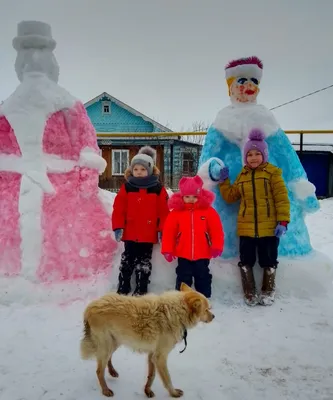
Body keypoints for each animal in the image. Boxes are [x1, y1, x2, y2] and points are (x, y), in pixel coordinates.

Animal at [80, 282, 215, 398]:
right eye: (207, 309)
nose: (214, 316)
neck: (176, 313)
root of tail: (90, 307)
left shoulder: (152, 355)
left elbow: (151, 376)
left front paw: (147, 391)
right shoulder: (160, 357)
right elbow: (167, 379)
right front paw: (174, 393)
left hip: (115, 342)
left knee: (108, 359)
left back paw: (112, 372)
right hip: (107, 345)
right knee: (99, 371)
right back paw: (105, 390)